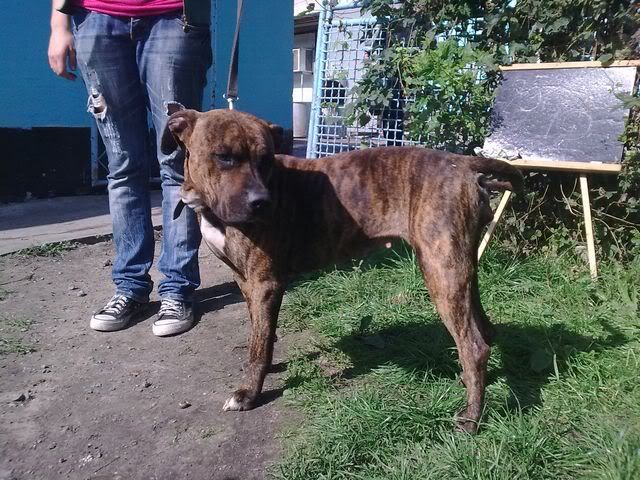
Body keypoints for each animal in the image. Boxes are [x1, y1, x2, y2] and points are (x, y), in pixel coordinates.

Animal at [161, 106, 523, 433]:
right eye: (224, 157)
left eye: (266, 160)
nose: (261, 202)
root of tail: (463, 163)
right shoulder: (245, 281)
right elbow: (260, 333)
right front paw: (266, 363)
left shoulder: (264, 282)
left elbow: (258, 342)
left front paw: (249, 393)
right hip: (461, 268)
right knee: (485, 330)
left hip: (440, 270)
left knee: (474, 346)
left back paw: (471, 418)